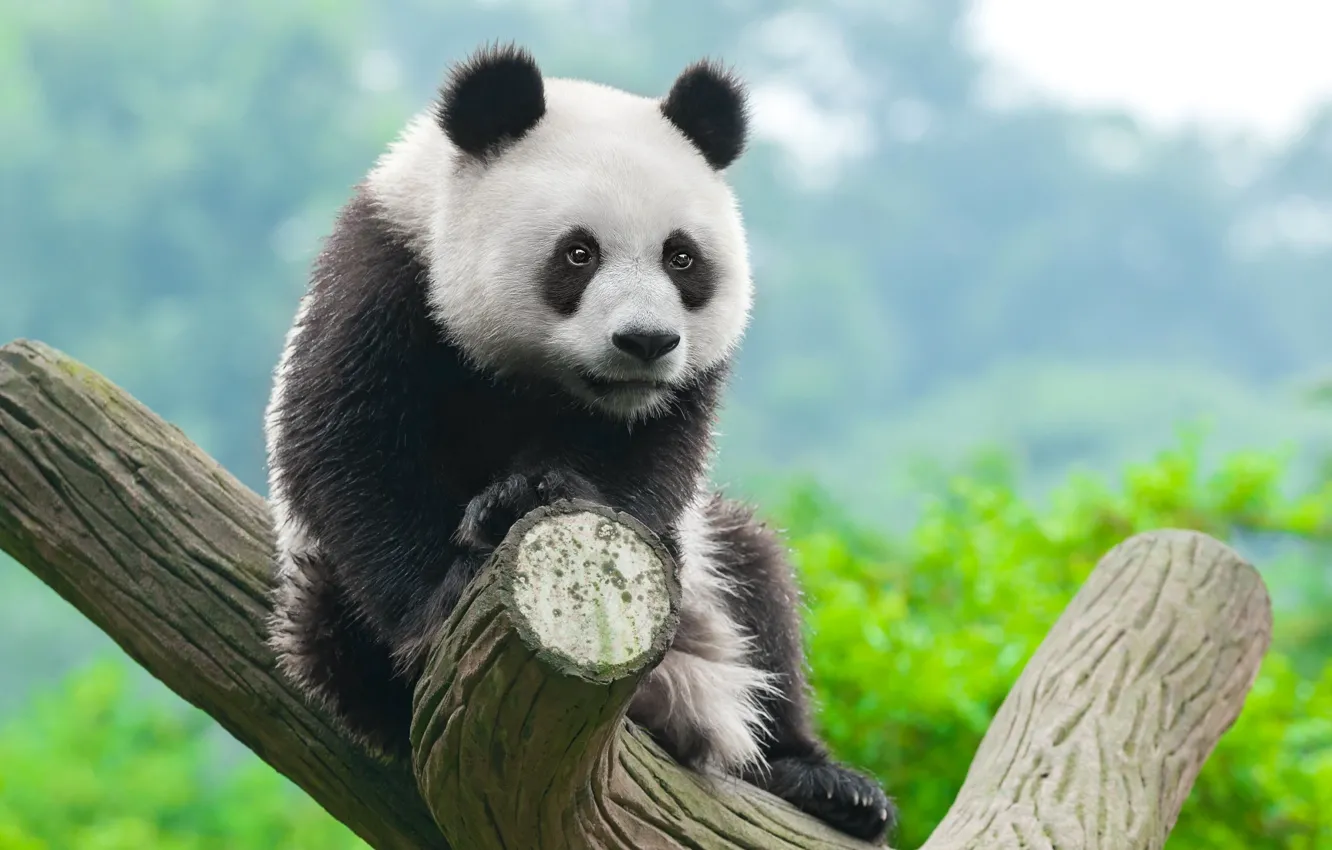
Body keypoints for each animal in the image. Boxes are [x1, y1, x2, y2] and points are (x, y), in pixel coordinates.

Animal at [263, 43, 895, 844]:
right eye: (578, 254)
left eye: (681, 258)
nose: (645, 342)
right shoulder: (386, 277)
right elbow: (351, 448)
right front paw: (447, 590)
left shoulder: (674, 395)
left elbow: (645, 459)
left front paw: (530, 493)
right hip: (318, 593)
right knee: (329, 632)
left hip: (710, 582)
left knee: (760, 585)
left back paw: (825, 783)